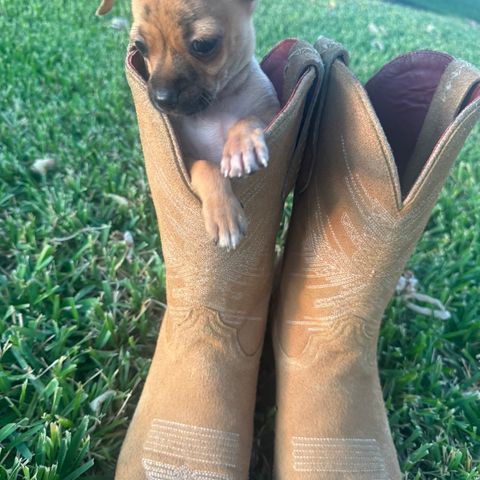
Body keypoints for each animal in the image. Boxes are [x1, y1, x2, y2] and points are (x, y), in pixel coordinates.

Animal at [96, 0, 280, 249]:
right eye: (140, 46)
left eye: (203, 45)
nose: (162, 98)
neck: (215, 106)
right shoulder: (185, 157)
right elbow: (206, 166)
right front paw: (223, 215)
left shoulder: (272, 111)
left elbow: (249, 118)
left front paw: (241, 148)